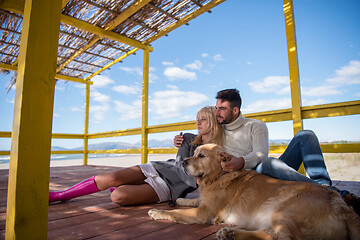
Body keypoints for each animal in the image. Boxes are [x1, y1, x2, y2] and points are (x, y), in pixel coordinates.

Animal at [147, 143, 360, 239]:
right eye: (194, 153)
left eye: (201, 155)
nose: (183, 162)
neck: (219, 176)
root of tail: (341, 205)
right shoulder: (205, 202)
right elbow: (192, 201)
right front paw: (181, 200)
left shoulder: (203, 212)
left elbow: (176, 212)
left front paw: (158, 211)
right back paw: (230, 233)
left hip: (283, 210)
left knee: (280, 238)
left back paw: (233, 233)